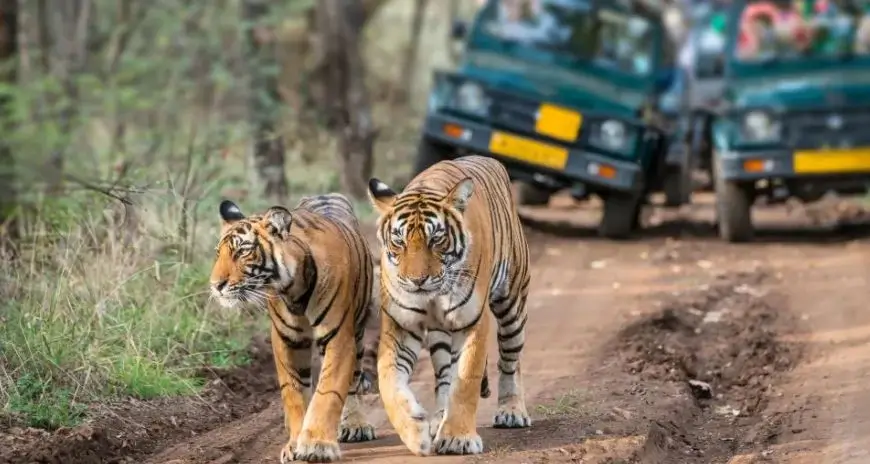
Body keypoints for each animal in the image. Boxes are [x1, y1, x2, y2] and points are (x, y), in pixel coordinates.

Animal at [209, 194, 378, 463]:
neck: (293, 289)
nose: (215, 285)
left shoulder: (339, 337)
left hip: (359, 330)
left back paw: (355, 426)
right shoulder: (287, 341)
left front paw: (318, 444)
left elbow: (328, 390)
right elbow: (295, 393)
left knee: (353, 380)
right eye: (218, 253)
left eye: (242, 252)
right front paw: (295, 445)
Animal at [366, 154, 531, 456]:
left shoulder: (473, 321)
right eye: (399, 241)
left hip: (512, 303)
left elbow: (466, 380)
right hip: (441, 334)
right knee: (444, 374)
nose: (417, 281)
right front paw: (415, 431)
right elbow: (388, 381)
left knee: (510, 360)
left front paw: (458, 439)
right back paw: (438, 418)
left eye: (436, 239)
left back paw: (512, 411)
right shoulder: (402, 325)